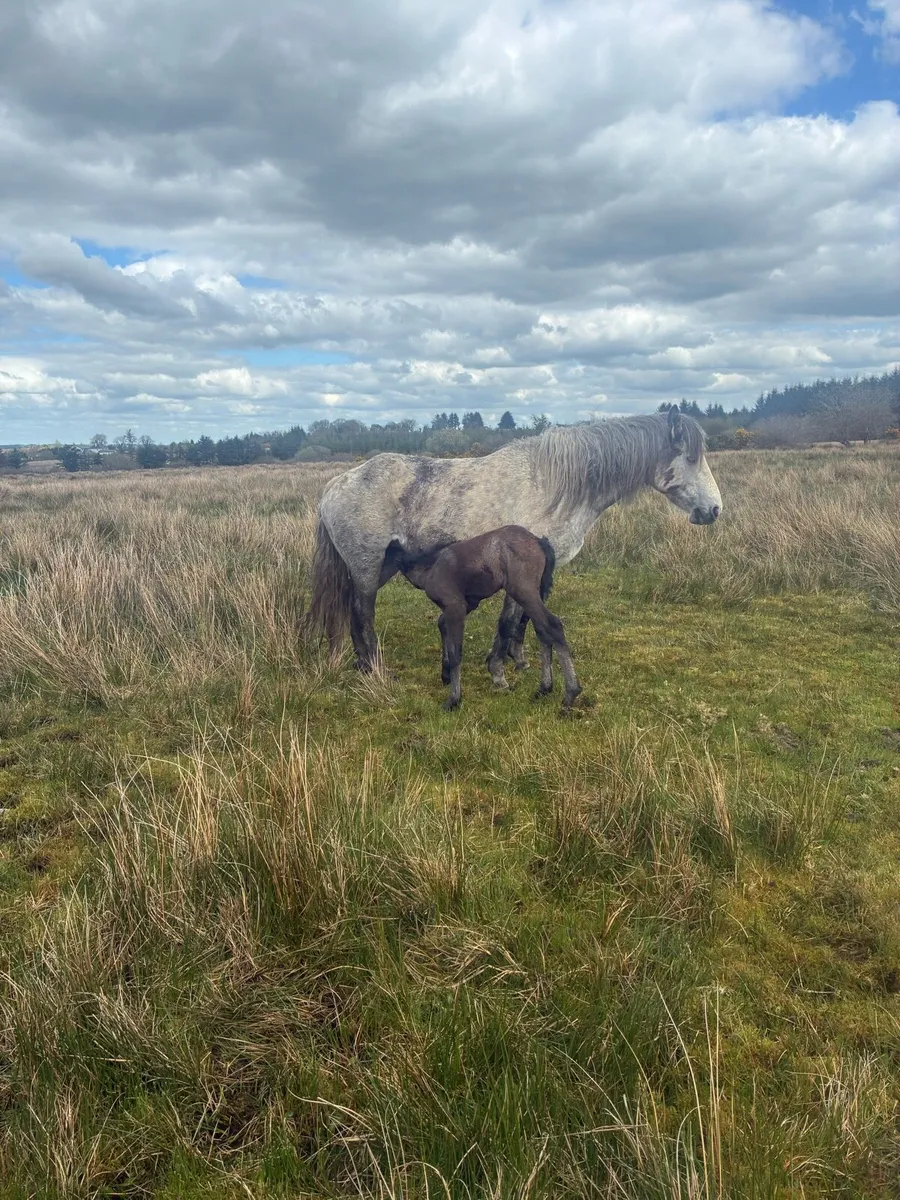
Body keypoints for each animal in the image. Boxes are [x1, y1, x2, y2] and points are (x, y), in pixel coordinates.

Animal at [305, 406, 721, 672]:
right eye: (691, 457)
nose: (714, 510)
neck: (556, 485)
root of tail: (335, 485)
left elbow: (521, 621)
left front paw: (516, 661)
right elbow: (509, 620)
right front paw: (497, 665)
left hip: (385, 564)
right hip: (367, 565)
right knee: (362, 613)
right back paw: (373, 668)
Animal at [387, 525, 581, 711]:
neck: (430, 568)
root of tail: (539, 541)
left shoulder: (455, 607)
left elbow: (456, 652)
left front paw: (454, 700)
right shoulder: (469, 604)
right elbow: (442, 625)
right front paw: (445, 674)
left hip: (524, 591)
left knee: (552, 626)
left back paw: (570, 694)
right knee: (542, 630)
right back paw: (544, 689)